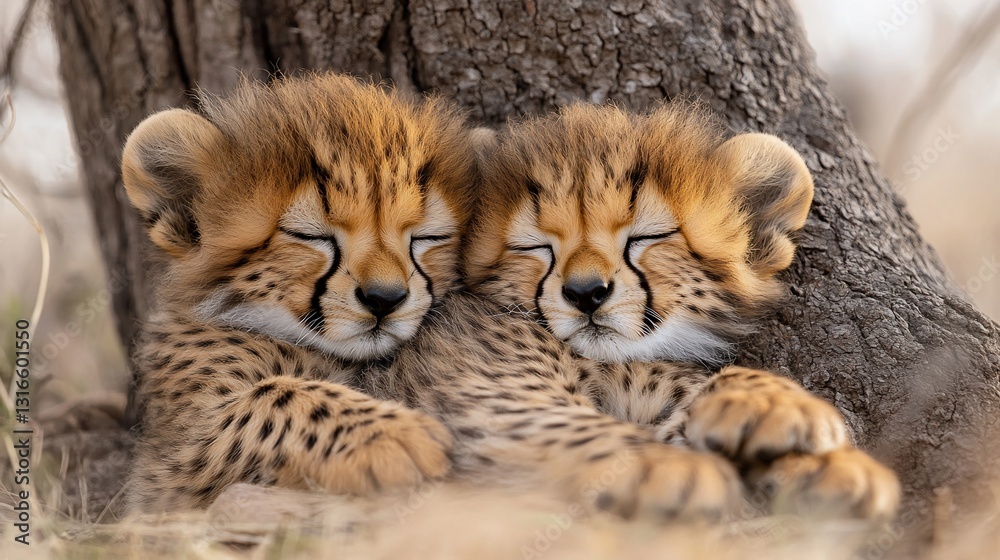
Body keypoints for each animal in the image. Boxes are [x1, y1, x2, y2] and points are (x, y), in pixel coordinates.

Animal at [120, 74, 476, 513]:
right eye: (311, 235)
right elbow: (274, 394)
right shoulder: (170, 468)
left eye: (428, 237)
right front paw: (393, 434)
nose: (385, 298)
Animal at [449, 102, 902, 520]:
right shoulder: (492, 388)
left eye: (646, 237)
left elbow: (693, 385)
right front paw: (671, 467)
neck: (605, 363)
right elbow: (562, 422)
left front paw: (794, 426)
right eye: (535, 246)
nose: (586, 293)